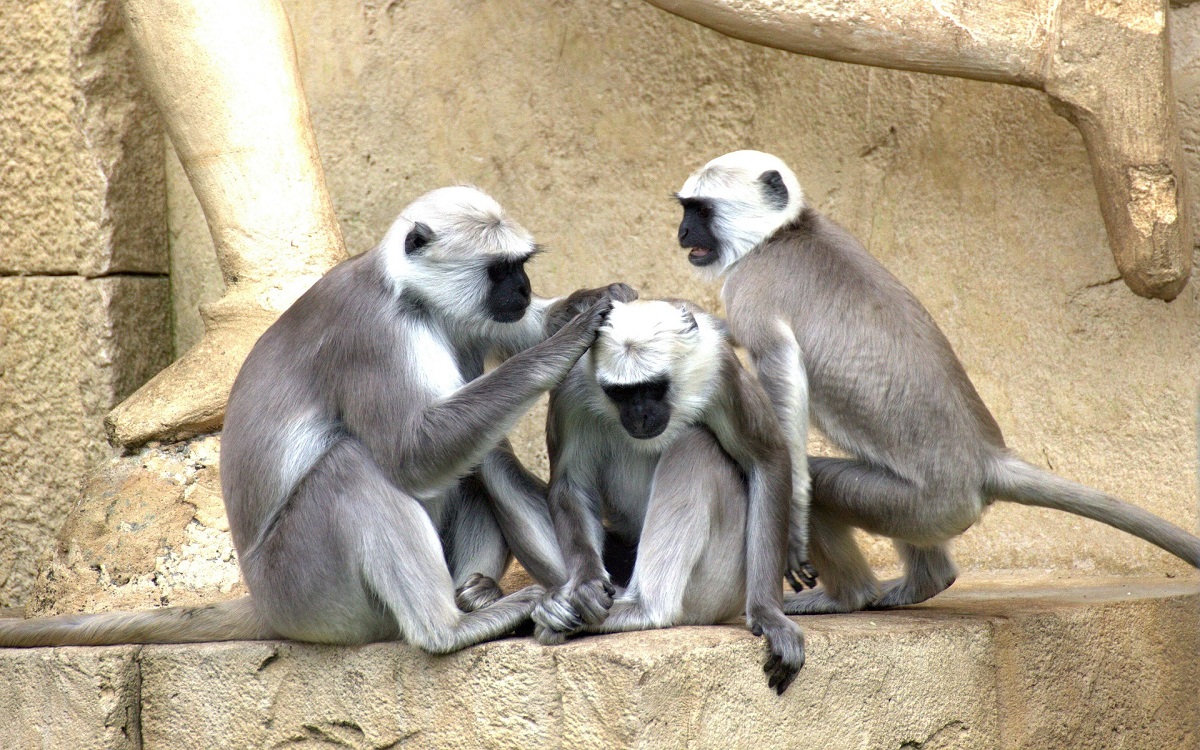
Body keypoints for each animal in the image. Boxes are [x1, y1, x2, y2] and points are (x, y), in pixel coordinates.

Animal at [0, 186, 633, 652]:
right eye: (500, 271)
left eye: (520, 269)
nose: (522, 287)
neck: (408, 295)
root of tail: (264, 599)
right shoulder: (372, 334)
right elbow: (413, 454)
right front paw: (572, 339)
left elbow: (520, 334)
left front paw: (590, 301)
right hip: (307, 587)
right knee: (358, 464)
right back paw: (452, 628)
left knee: (480, 456)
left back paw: (499, 596)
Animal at [531, 298, 804, 695]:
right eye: (621, 394)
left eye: (654, 388)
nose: (640, 415)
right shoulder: (571, 385)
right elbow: (570, 484)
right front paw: (584, 584)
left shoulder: (718, 367)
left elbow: (767, 461)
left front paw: (769, 614)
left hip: (720, 584)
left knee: (695, 442)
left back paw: (644, 609)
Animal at [674, 150, 1200, 615]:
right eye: (686, 210)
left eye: (699, 210)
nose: (681, 233)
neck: (783, 233)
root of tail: (986, 459)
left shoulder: (750, 286)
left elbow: (781, 380)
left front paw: (792, 528)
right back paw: (926, 582)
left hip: (926, 504)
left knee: (822, 482)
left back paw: (848, 596)